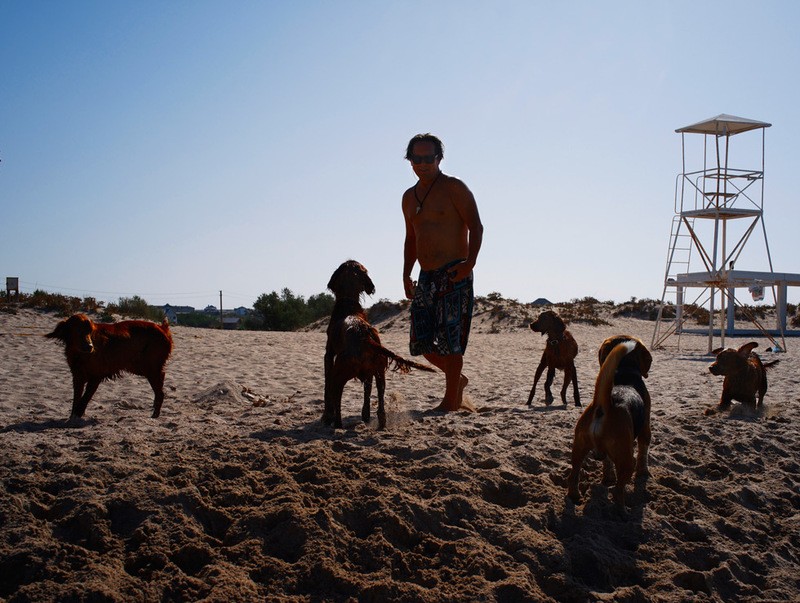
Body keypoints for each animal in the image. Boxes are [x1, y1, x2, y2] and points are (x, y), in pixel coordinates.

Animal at [324, 260, 434, 430]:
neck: (348, 304)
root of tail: (362, 334)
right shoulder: (370, 372)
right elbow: (368, 391)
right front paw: (365, 415)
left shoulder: (329, 355)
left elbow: (327, 387)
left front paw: (326, 417)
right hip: (379, 371)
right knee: (380, 396)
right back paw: (381, 422)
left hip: (341, 371)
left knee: (337, 394)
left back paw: (337, 423)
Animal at [564, 336, 652, 510]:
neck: (625, 370)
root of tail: (605, 405)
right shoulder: (646, 427)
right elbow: (643, 452)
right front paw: (643, 472)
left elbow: (607, 463)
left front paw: (608, 478)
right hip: (627, 460)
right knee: (618, 491)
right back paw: (622, 511)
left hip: (578, 449)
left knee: (573, 475)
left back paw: (575, 495)